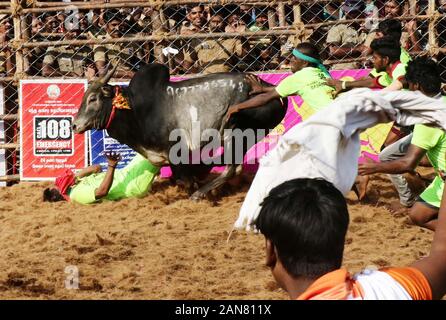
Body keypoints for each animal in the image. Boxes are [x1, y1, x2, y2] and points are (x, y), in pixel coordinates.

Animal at [72, 62, 286, 199]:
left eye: (93, 98)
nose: (74, 125)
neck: (136, 110)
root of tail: (270, 88)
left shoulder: (175, 152)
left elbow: (185, 180)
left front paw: (194, 188)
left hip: (234, 131)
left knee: (231, 168)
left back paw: (200, 194)